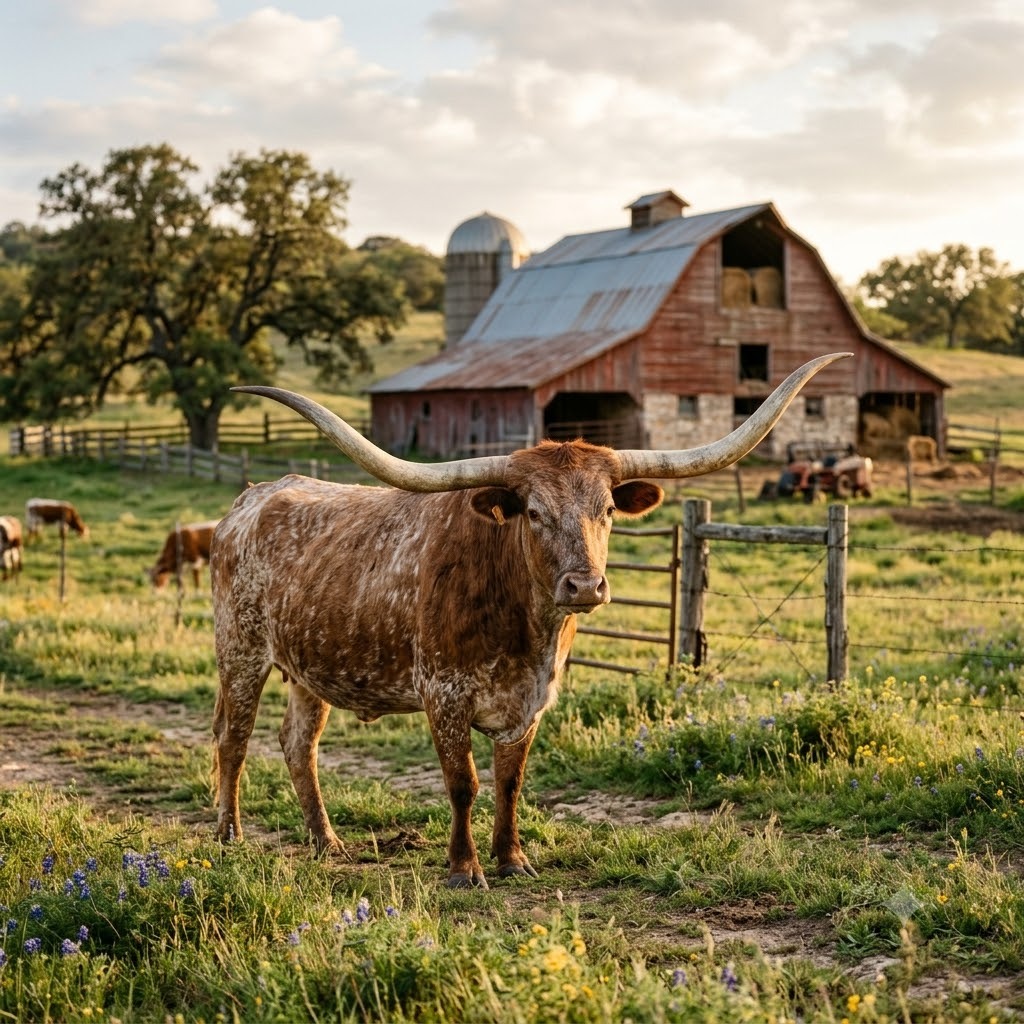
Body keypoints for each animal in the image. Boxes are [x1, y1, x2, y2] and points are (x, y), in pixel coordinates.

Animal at [210, 352, 850, 888]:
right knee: (232, 739)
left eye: (608, 508)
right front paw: (464, 869)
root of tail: (249, 499)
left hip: (309, 667)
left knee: (298, 745)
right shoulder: (443, 695)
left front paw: (512, 858)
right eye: (534, 512)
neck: (524, 628)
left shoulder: (532, 702)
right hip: (240, 653)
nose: (585, 585)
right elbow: (463, 783)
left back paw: (327, 842)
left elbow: (510, 781)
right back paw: (229, 836)